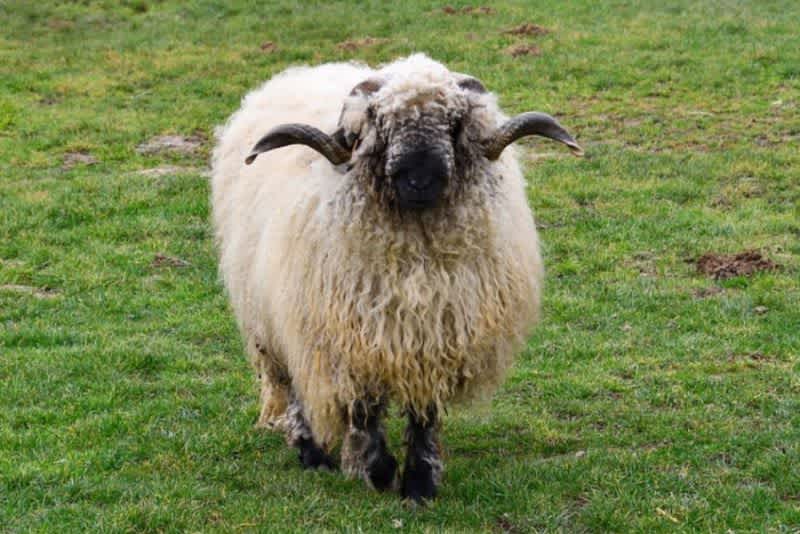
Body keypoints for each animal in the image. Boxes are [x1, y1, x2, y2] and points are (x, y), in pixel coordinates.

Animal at [208, 52, 580, 504]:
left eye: (454, 123)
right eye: (381, 124)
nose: (419, 180)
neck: (414, 258)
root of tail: (305, 71)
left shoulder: (435, 340)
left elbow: (424, 414)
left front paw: (419, 483)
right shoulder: (351, 340)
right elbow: (364, 409)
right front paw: (378, 471)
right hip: (271, 318)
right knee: (292, 384)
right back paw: (312, 452)